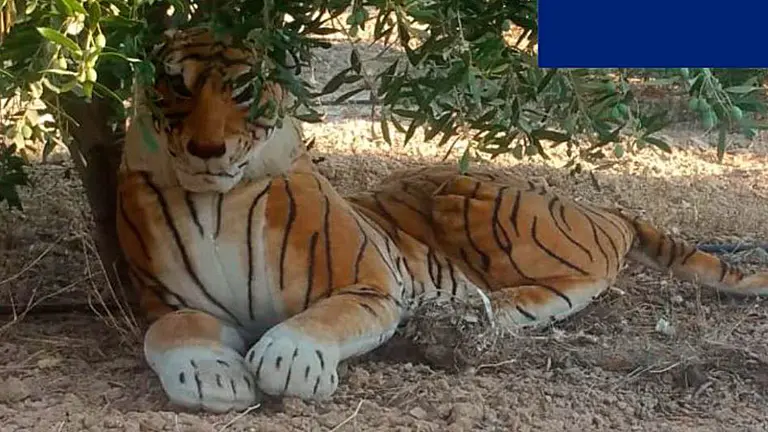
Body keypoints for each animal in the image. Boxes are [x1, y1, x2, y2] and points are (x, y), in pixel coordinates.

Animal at [116, 26, 768, 413]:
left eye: (245, 90)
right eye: (176, 85)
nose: (206, 148)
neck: (216, 202)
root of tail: (591, 205)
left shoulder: (370, 283)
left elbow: (322, 319)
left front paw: (290, 360)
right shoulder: (168, 303)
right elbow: (169, 333)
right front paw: (208, 373)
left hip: (479, 199)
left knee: (589, 271)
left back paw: (485, 308)